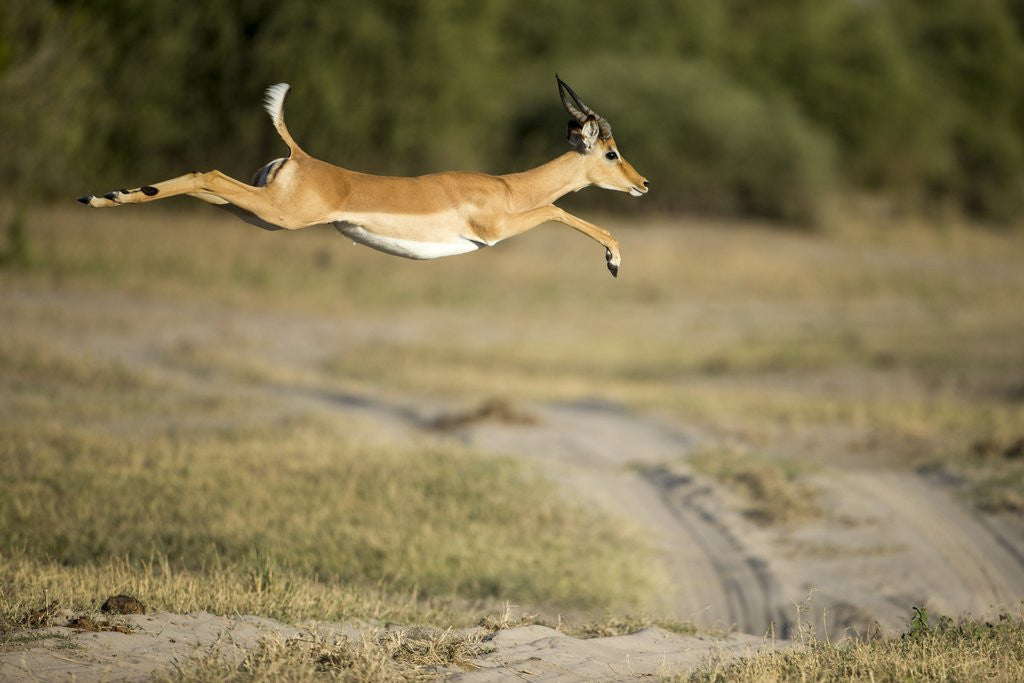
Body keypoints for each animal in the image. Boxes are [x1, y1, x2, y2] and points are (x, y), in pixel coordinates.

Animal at [78, 76, 648, 276]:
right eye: (612, 152)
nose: (643, 184)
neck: (508, 187)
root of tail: (299, 155)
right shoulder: (494, 231)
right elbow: (555, 207)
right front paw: (614, 260)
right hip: (275, 214)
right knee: (209, 172)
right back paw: (102, 197)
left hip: (256, 212)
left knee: (205, 181)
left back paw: (107, 195)